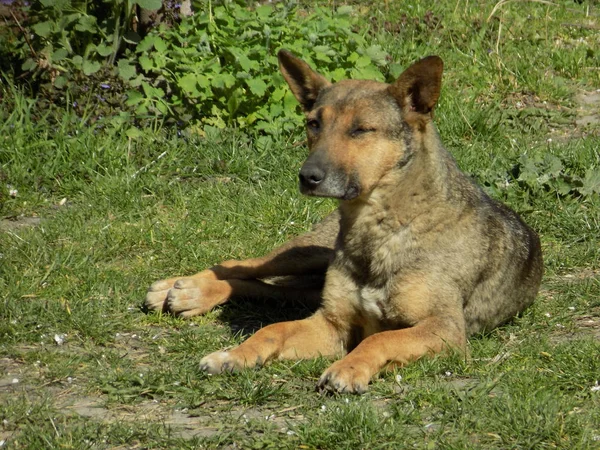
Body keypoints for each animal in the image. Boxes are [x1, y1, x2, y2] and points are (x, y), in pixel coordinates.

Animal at [146, 50, 544, 394]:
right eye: (313, 124)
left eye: (361, 130)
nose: (308, 177)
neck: (384, 227)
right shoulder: (330, 323)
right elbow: (272, 330)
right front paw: (235, 354)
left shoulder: (443, 329)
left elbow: (381, 337)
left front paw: (350, 367)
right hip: (307, 253)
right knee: (240, 265)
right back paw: (183, 289)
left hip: (309, 277)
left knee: (265, 287)